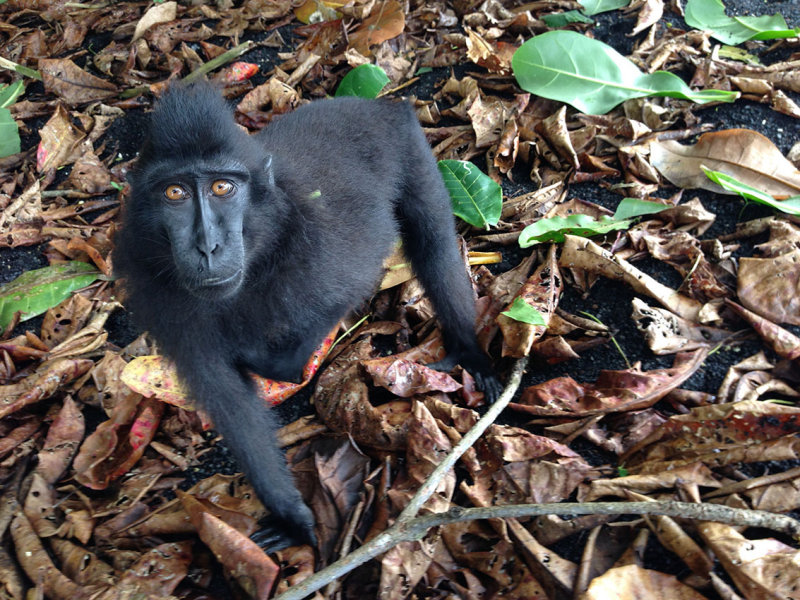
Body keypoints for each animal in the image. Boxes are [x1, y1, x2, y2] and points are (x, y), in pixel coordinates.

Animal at [112, 83, 500, 548]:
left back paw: (469, 349)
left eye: (223, 187)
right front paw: (291, 517)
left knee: (433, 242)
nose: (208, 246)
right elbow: (227, 396)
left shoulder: (319, 250)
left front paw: (283, 364)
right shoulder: (161, 296)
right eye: (175, 193)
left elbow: (338, 296)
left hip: (410, 148)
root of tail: (377, 106)